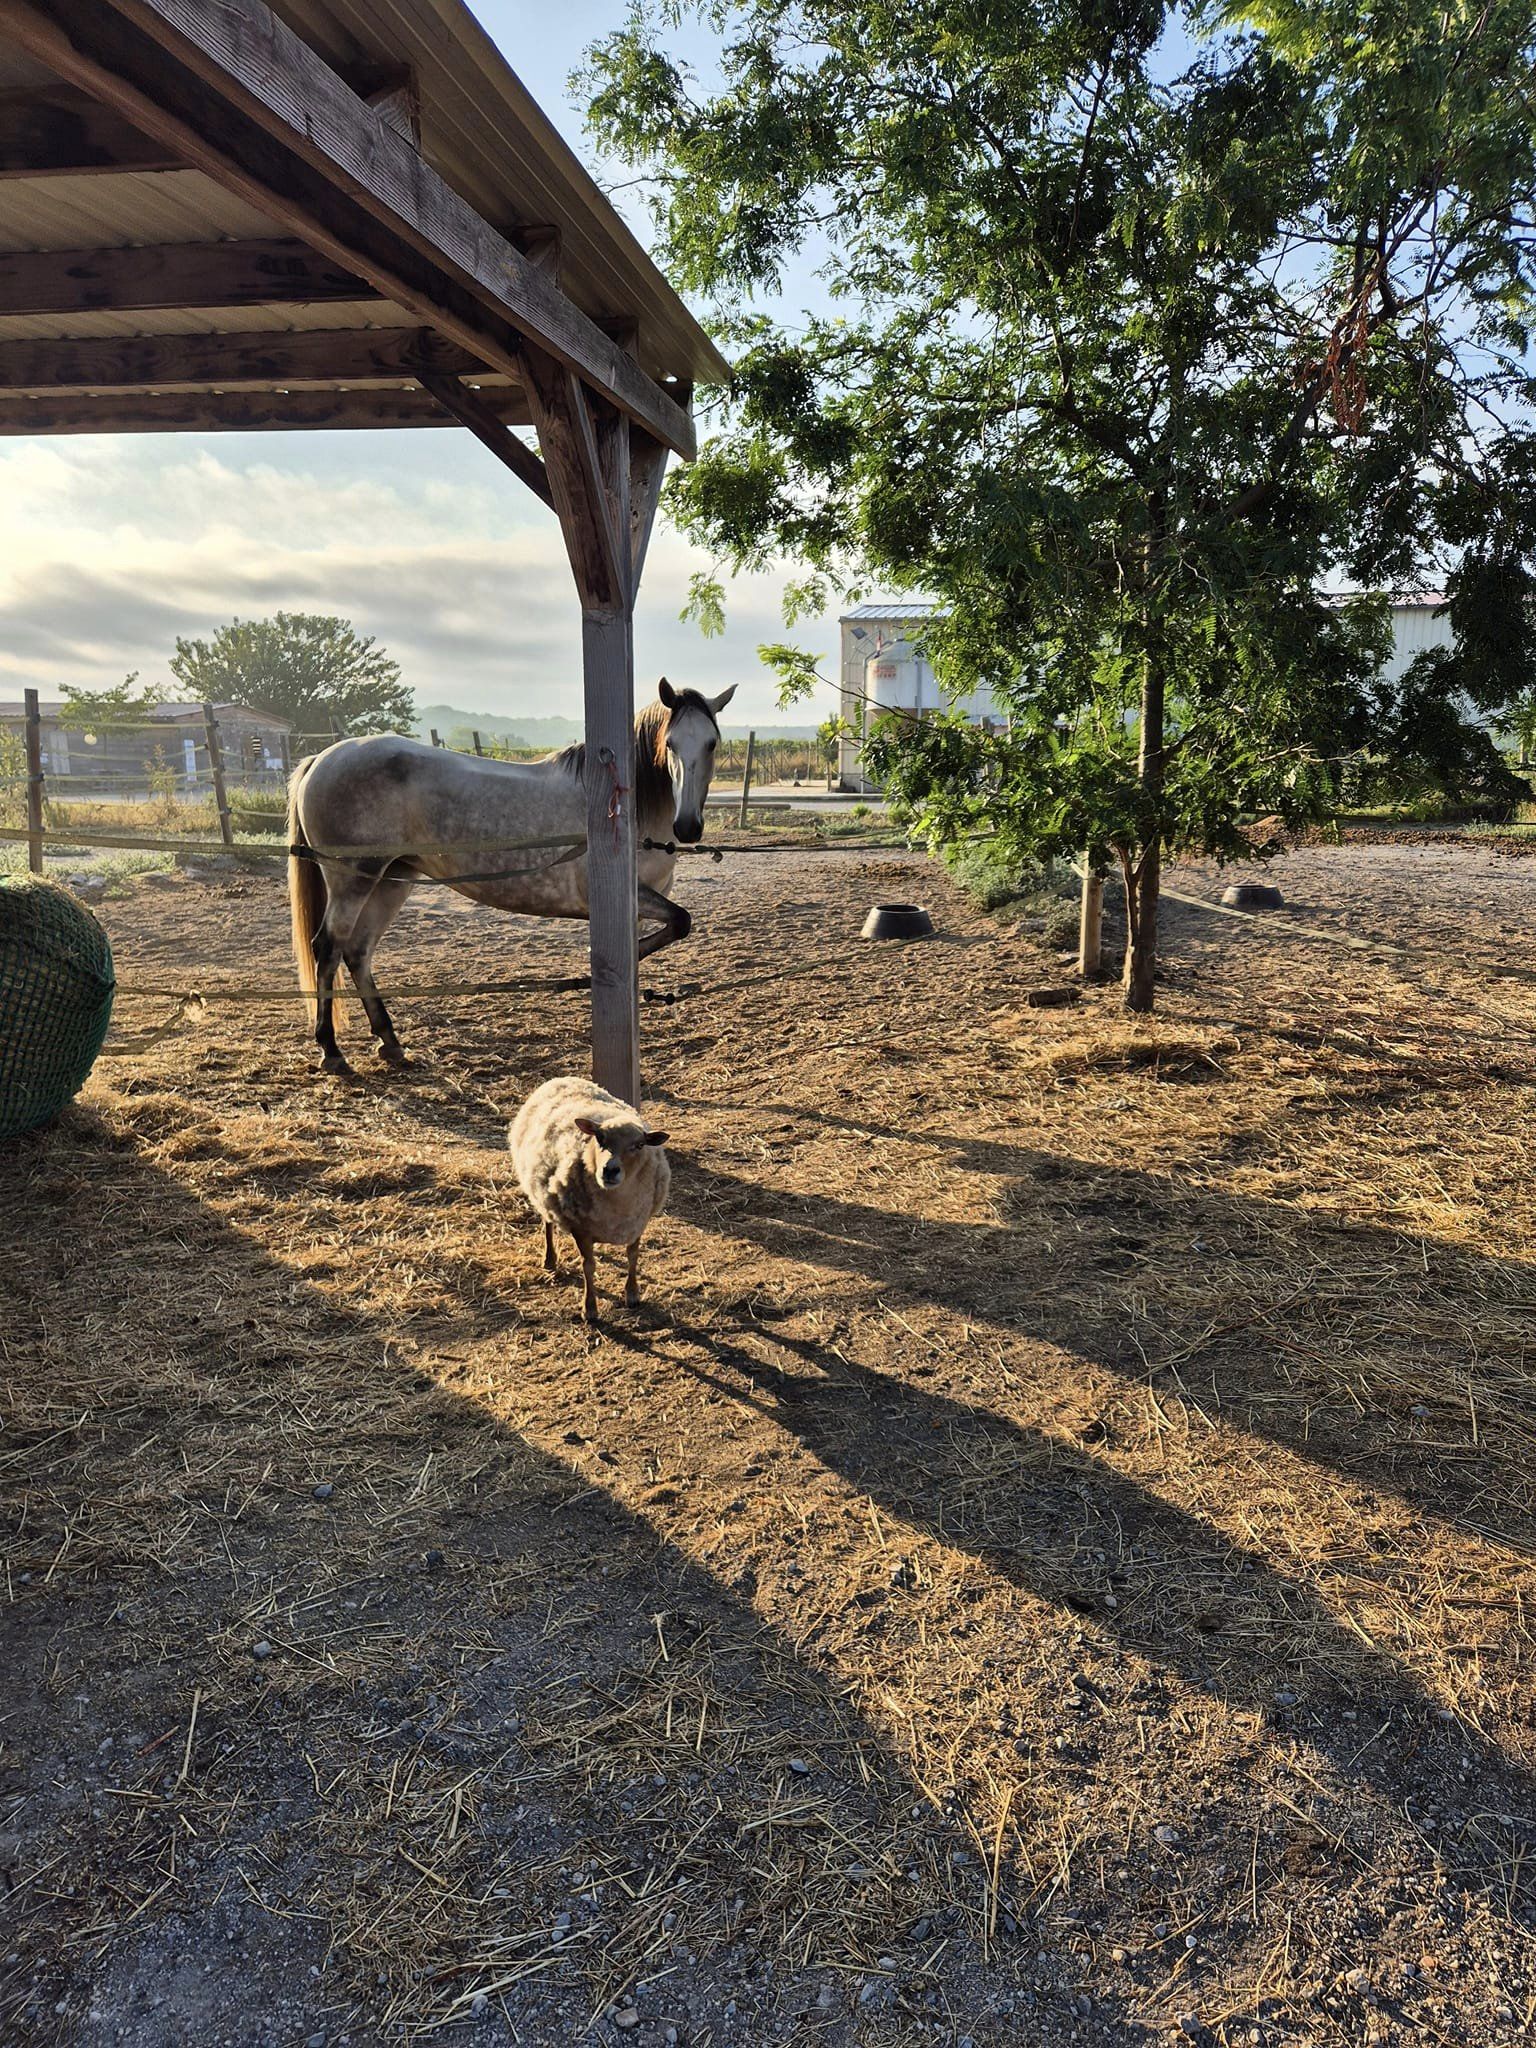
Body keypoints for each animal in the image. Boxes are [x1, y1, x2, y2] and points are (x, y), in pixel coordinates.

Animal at [296, 684, 741, 1073]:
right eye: (670, 744)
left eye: (712, 743)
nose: (688, 826)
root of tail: (321, 758)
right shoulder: (629, 896)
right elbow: (679, 922)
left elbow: (666, 932)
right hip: (353, 881)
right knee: (328, 949)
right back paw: (331, 1051)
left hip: (391, 880)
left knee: (358, 952)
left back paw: (389, 1042)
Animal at [507, 1081, 671, 1318]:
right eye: (600, 1138)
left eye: (640, 1145)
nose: (610, 1170)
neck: (617, 1205)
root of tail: (560, 1079)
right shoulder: (580, 1229)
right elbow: (589, 1266)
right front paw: (590, 1308)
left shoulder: (637, 1223)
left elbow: (632, 1256)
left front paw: (632, 1293)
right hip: (544, 1190)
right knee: (548, 1224)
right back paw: (549, 1259)